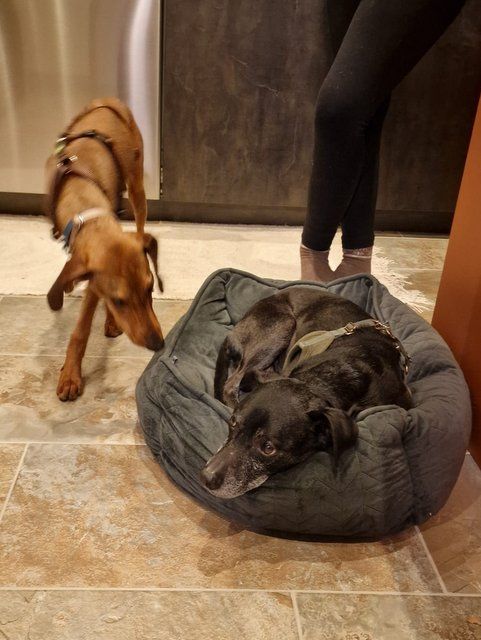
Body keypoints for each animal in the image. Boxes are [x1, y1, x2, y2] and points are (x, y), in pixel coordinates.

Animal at [45, 97, 164, 401]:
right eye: (120, 301)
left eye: (150, 289)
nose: (158, 344)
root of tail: (105, 104)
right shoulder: (92, 273)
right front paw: (70, 374)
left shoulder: (95, 283)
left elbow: (83, 325)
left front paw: (71, 373)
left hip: (136, 185)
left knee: (140, 223)